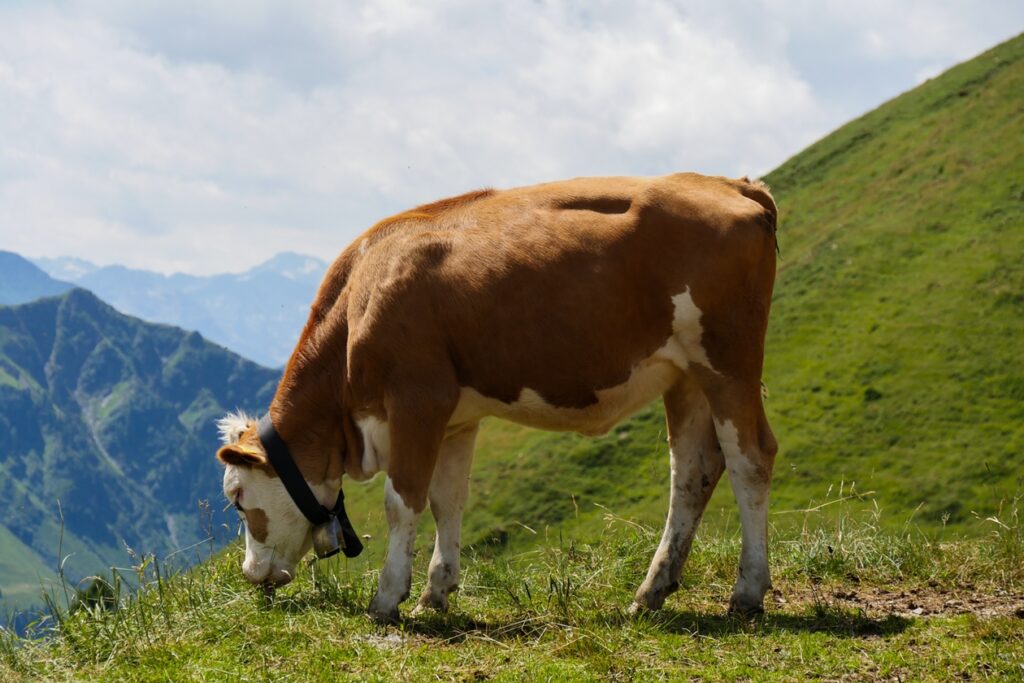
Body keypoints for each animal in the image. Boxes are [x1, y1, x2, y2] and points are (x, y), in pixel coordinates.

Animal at [216, 172, 779, 622]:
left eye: (238, 498)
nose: (251, 574)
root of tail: (732, 184)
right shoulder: (457, 418)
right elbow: (446, 500)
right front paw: (435, 594)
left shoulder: (417, 399)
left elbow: (403, 500)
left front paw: (388, 597)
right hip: (685, 375)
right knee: (692, 472)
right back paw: (651, 591)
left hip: (728, 358)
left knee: (750, 458)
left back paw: (748, 590)